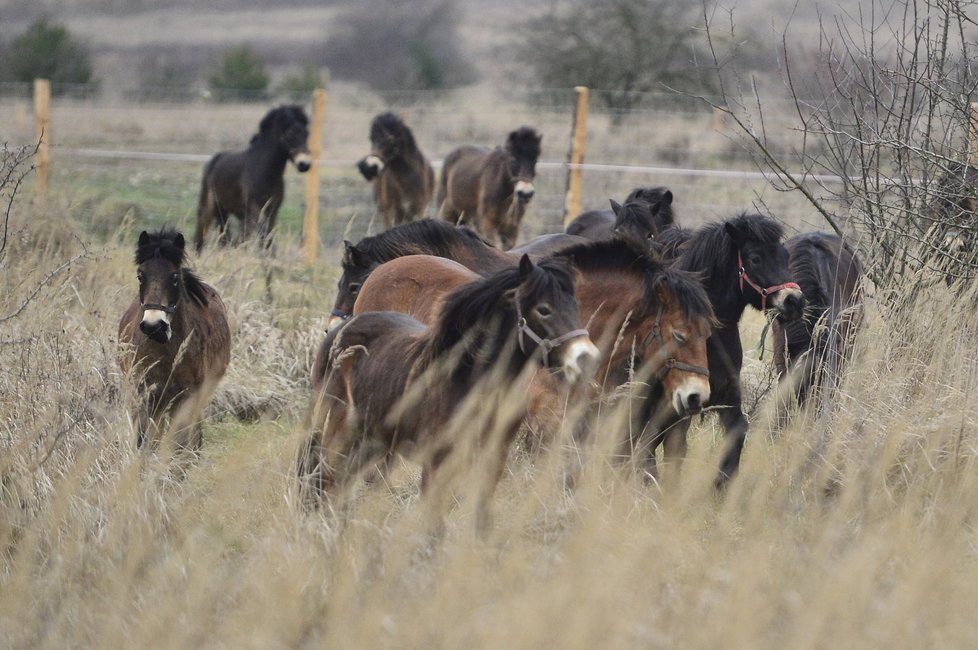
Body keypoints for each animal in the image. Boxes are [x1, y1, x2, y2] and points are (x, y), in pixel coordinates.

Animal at [117, 225, 230, 448]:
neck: (165, 352)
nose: (154, 327)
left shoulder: (188, 397)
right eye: (141, 276)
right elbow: (144, 440)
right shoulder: (145, 393)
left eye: (175, 277)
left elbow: (181, 441)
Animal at [193, 104, 310, 251]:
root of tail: (215, 159)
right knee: (201, 237)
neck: (265, 173)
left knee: (225, 237)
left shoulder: (272, 210)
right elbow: (262, 234)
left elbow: (267, 238)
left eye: (307, 133)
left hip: (224, 210)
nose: (304, 164)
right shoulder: (254, 209)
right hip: (208, 207)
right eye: (290, 133)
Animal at [302, 254, 600, 532]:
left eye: (575, 306)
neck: (469, 379)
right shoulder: (437, 462)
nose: (587, 358)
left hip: (372, 442)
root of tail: (338, 334)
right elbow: (435, 525)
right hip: (338, 434)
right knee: (327, 484)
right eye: (544, 309)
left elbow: (481, 519)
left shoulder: (493, 461)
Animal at [652, 210, 804, 484]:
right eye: (755, 258)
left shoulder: (728, 395)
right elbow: (673, 448)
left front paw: (722, 485)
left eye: (785, 256)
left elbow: (736, 434)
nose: (795, 301)